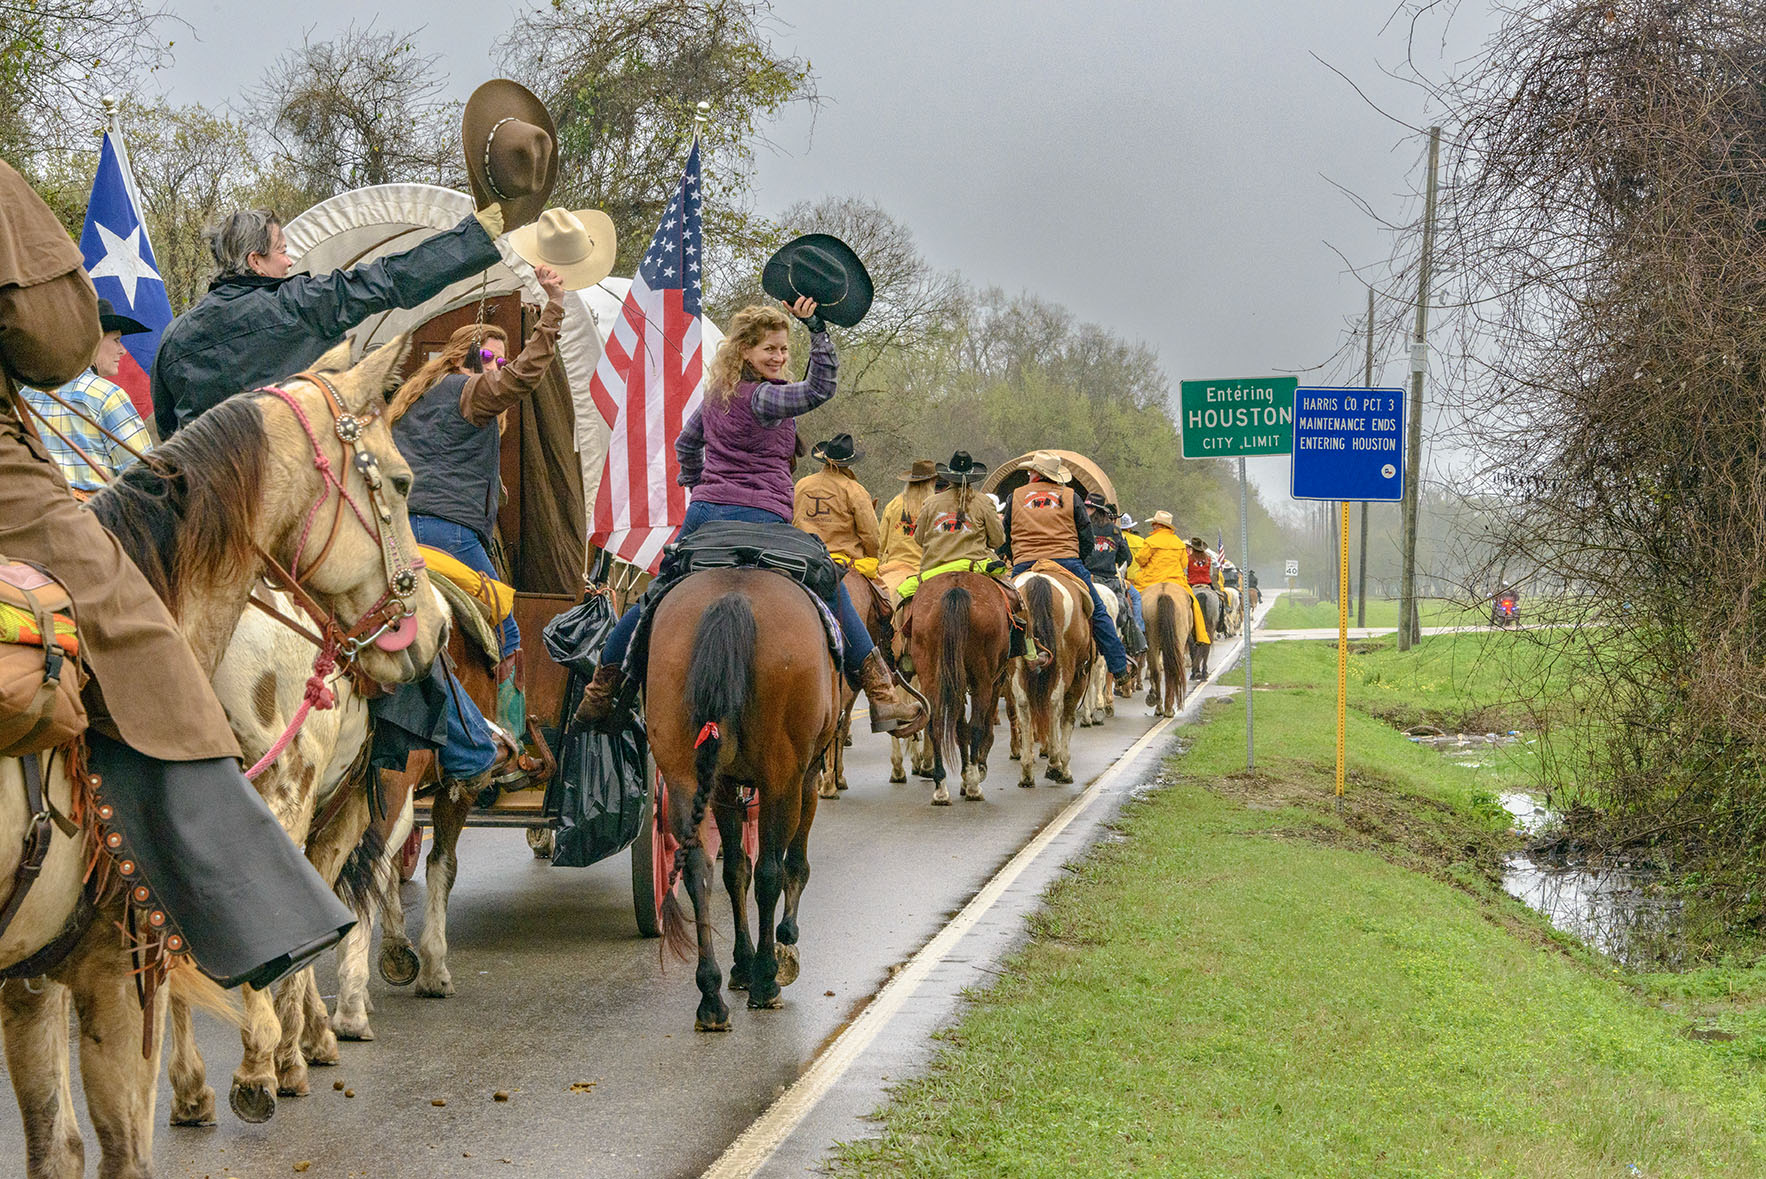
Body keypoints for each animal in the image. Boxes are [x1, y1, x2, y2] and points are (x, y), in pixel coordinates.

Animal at [0, 340, 441, 1179]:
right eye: (402, 481)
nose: (430, 629)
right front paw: (290, 1052)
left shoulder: (49, 963)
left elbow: (58, 1139)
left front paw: (222, 1076)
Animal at [649, 571, 840, 1030]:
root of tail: (732, 596)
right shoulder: (805, 777)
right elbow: (792, 865)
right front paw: (782, 945)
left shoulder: (722, 788)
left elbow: (735, 869)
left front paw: (740, 963)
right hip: (781, 779)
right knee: (771, 869)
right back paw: (766, 980)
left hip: (685, 776)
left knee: (698, 869)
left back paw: (711, 995)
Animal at [904, 571, 1017, 811]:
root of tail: (956, 588)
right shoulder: (996, 680)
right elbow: (980, 728)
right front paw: (975, 772)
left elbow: (959, 729)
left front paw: (964, 776)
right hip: (982, 678)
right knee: (976, 725)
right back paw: (974, 785)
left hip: (931, 675)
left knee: (934, 724)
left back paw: (940, 788)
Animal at [1010, 564, 1087, 787]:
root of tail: (1039, 579)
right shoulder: (1079, 677)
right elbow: (1067, 718)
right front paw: (1063, 766)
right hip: (1065, 665)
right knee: (1054, 704)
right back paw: (1055, 765)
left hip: (1016, 667)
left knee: (1023, 705)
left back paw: (1027, 771)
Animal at [1137, 578, 1193, 720]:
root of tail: (1164, 593)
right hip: (1176, 642)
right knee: (1169, 670)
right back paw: (1166, 709)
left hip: (1153, 642)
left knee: (1157, 671)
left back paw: (1160, 708)